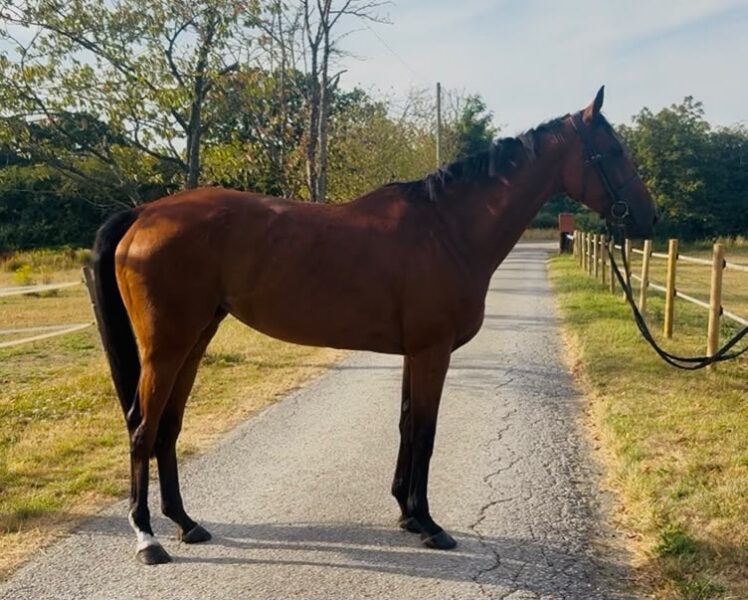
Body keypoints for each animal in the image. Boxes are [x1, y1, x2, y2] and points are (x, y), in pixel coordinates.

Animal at [91, 86, 656, 564]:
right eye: (612, 151)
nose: (646, 217)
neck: (446, 228)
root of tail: (144, 214)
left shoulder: (415, 353)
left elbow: (407, 425)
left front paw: (407, 514)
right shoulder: (433, 351)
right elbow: (425, 431)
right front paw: (429, 525)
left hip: (194, 341)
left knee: (167, 428)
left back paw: (186, 523)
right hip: (166, 348)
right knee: (142, 428)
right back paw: (147, 538)